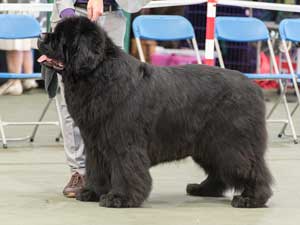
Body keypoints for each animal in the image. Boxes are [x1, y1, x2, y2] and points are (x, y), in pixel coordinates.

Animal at [38, 16, 274, 208]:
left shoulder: (124, 141)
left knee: (251, 168)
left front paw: (120, 198)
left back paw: (251, 199)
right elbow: (96, 169)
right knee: (219, 171)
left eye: (60, 37)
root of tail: (253, 86)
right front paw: (92, 192)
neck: (98, 75)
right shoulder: (95, 142)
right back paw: (202, 189)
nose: (41, 36)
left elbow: (125, 168)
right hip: (208, 145)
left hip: (231, 142)